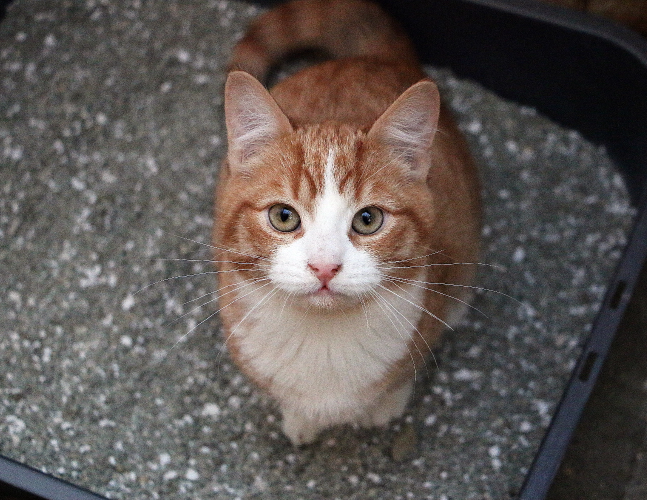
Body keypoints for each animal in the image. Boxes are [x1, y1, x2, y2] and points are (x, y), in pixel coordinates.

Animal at [213, 0, 480, 446]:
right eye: (283, 217)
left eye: (368, 220)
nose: (325, 267)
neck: (324, 341)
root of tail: (374, 58)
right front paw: (299, 418)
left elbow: (405, 371)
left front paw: (387, 404)